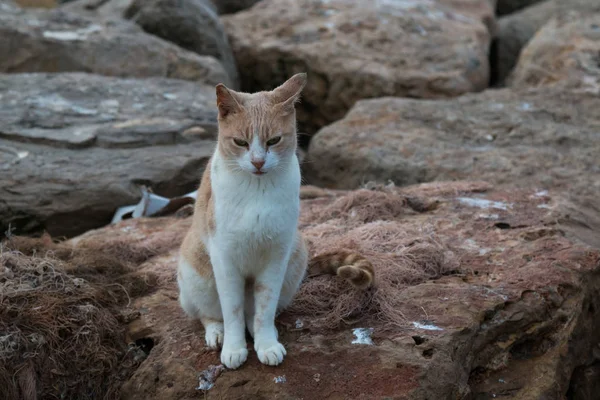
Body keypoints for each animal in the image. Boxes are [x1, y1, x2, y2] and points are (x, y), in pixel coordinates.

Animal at [176, 74, 372, 368]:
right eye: (241, 142)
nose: (258, 162)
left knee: (253, 312)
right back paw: (217, 334)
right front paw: (234, 348)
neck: (258, 191)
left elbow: (264, 310)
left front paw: (266, 343)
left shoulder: (275, 257)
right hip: (196, 277)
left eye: (273, 140)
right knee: (208, 314)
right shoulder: (225, 259)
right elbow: (231, 311)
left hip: (295, 257)